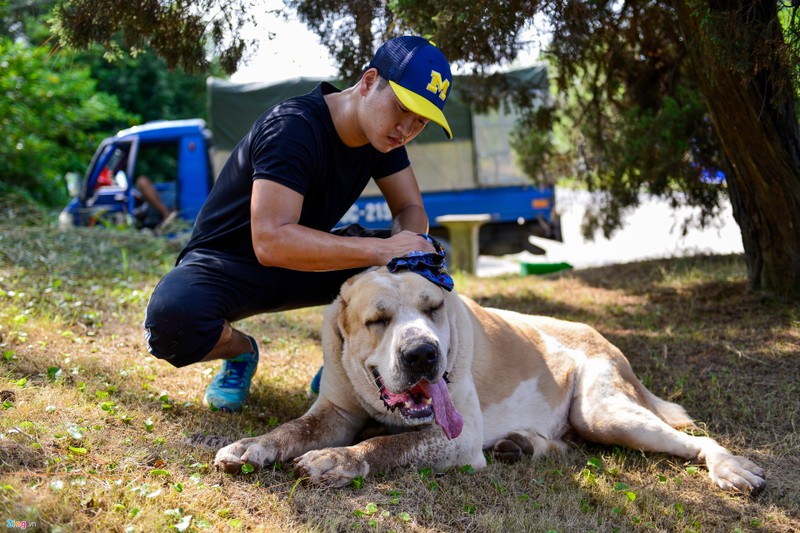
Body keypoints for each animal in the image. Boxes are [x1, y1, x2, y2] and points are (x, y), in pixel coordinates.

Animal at [216, 268, 764, 492]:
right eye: (377, 320)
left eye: (434, 308)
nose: (423, 354)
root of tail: (606, 339)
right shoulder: (334, 411)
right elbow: (294, 429)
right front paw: (251, 446)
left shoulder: (456, 440)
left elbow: (386, 446)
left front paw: (337, 459)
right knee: (568, 446)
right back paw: (521, 446)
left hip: (605, 412)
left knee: (696, 441)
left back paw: (732, 469)